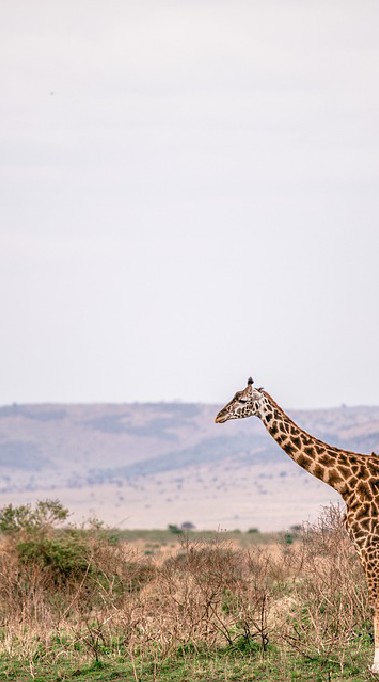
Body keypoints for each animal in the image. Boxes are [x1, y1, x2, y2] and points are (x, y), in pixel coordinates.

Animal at [217, 378, 379, 668]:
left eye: (243, 400)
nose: (219, 416)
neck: (346, 482)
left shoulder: (368, 543)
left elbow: (375, 601)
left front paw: (376, 665)